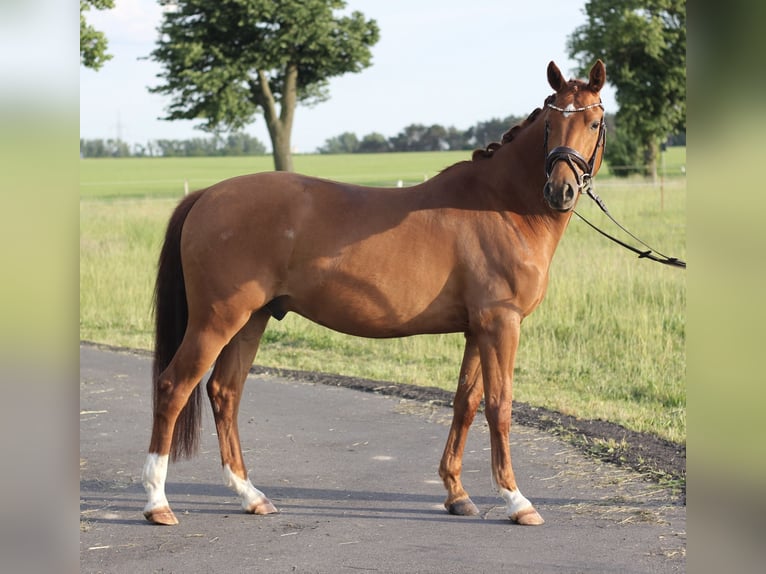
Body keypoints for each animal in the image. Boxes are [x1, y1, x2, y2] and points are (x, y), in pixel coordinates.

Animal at [144, 60, 608, 528]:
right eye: (550, 123)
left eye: (593, 121)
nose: (560, 190)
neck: (499, 206)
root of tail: (207, 195)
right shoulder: (501, 324)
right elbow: (500, 404)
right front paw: (516, 500)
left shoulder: (478, 330)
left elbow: (466, 401)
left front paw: (457, 494)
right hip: (216, 320)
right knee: (173, 387)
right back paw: (157, 503)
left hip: (251, 320)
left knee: (225, 392)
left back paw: (250, 495)